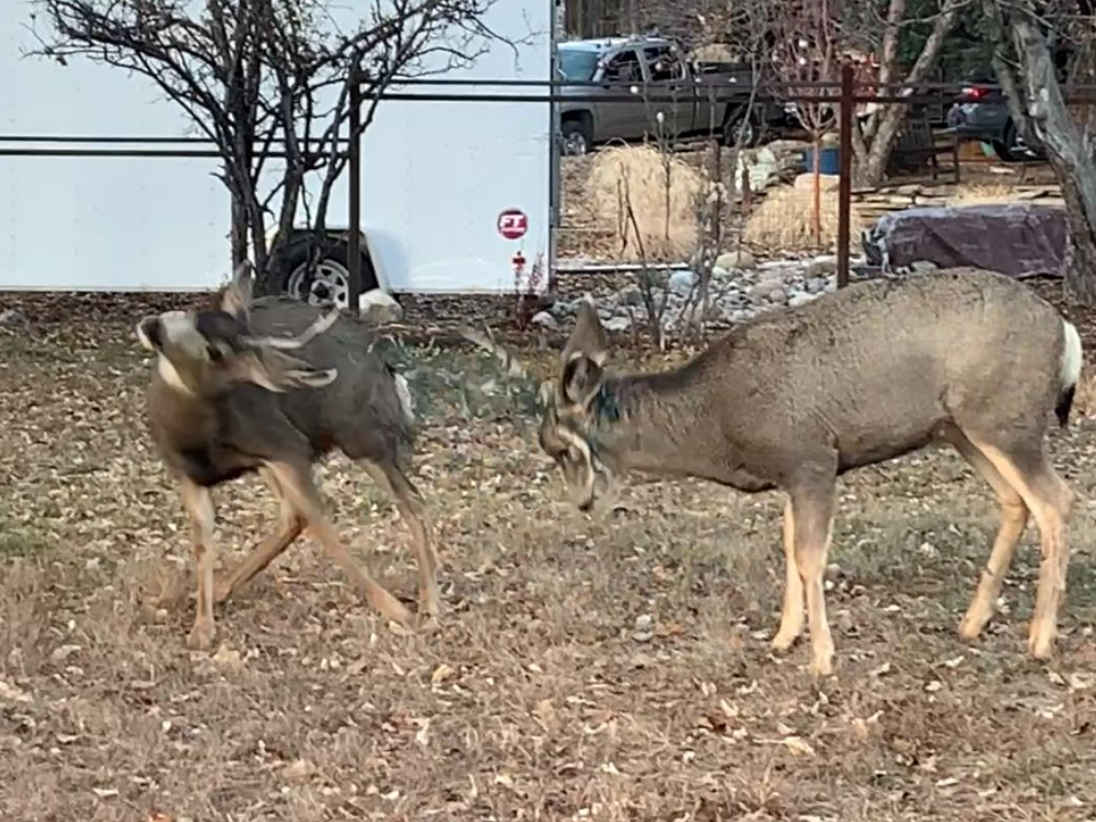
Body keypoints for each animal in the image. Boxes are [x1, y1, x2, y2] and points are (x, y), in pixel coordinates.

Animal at [139, 267, 438, 653]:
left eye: (215, 351)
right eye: (194, 315)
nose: (154, 326)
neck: (198, 436)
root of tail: (385, 367)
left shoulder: (287, 446)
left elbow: (325, 530)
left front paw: (397, 611)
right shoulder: (188, 475)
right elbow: (203, 543)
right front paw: (203, 626)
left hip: (362, 435)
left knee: (411, 502)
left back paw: (431, 603)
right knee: (295, 516)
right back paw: (221, 590)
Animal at [484, 267, 1082, 679]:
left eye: (561, 450)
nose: (583, 503)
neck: (720, 420)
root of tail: (1066, 331)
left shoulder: (812, 457)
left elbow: (810, 555)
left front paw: (822, 658)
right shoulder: (791, 475)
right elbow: (790, 545)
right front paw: (783, 637)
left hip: (1004, 418)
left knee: (1057, 500)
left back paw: (1040, 640)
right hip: (962, 429)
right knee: (1016, 501)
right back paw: (973, 623)